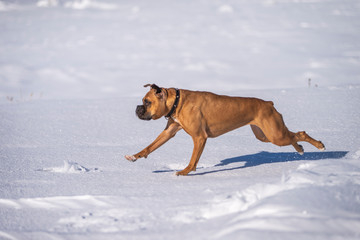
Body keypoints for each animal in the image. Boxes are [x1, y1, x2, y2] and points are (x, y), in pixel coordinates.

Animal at [125, 84, 324, 176]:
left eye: (147, 102)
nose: (136, 109)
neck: (177, 102)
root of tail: (268, 103)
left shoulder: (199, 137)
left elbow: (193, 159)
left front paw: (185, 171)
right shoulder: (168, 132)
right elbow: (150, 147)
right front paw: (134, 156)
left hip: (275, 135)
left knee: (300, 134)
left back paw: (319, 146)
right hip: (265, 135)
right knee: (294, 136)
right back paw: (300, 149)